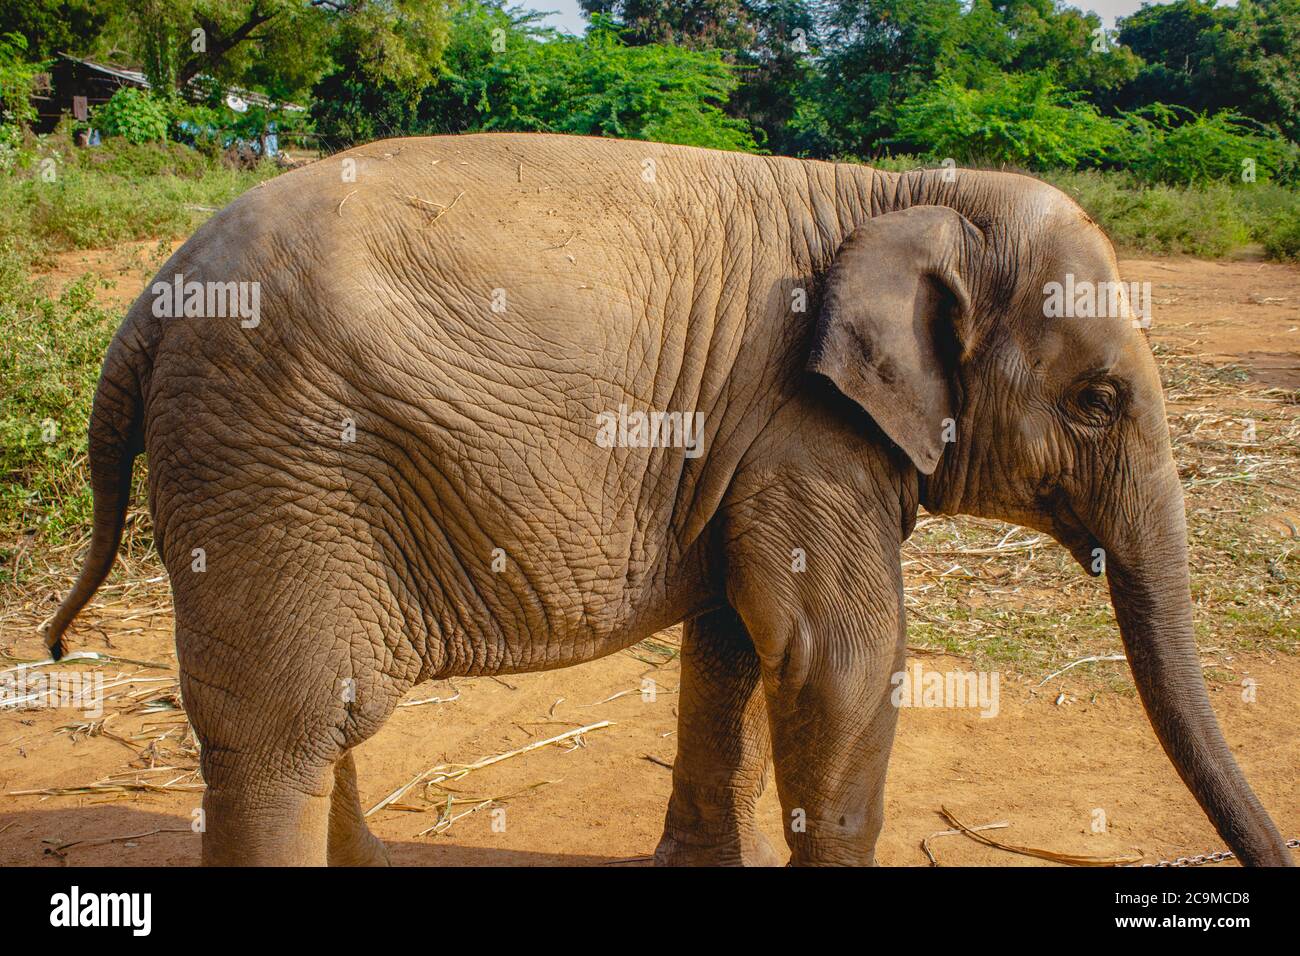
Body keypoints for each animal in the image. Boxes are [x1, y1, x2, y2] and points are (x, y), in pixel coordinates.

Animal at [44, 132, 1292, 866]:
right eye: (1095, 400)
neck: (903, 188)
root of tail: (149, 301)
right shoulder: (806, 424)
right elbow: (838, 655)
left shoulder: (749, 437)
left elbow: (736, 641)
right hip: (276, 458)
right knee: (280, 733)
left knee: (330, 713)